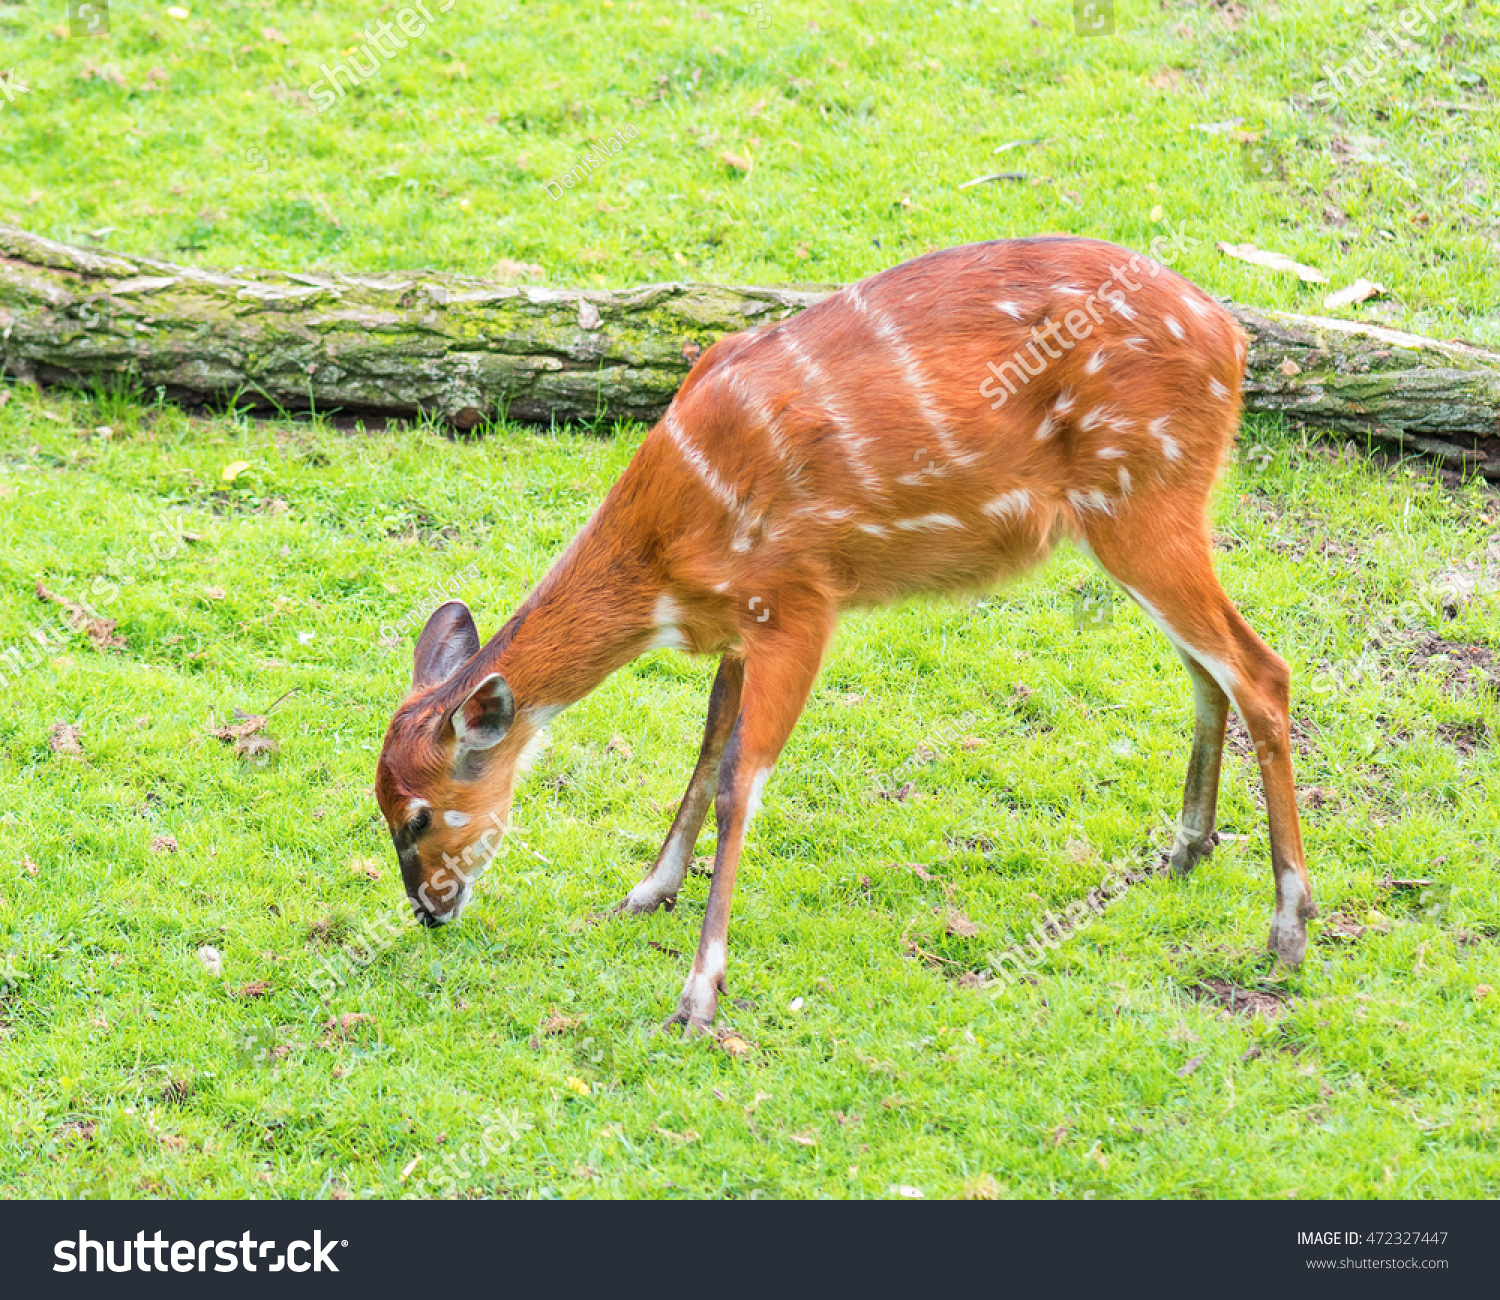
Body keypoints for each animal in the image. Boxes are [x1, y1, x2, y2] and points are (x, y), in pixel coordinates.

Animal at [375, 230, 1314, 1025]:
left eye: (418, 817)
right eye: (380, 803)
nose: (427, 908)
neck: (666, 556)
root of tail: (1231, 339)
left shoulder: (796, 603)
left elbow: (738, 782)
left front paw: (699, 995)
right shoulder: (739, 626)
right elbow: (707, 747)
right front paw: (646, 891)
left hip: (1146, 500)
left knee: (1262, 669)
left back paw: (1289, 926)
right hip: (1141, 516)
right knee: (1207, 668)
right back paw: (1189, 848)